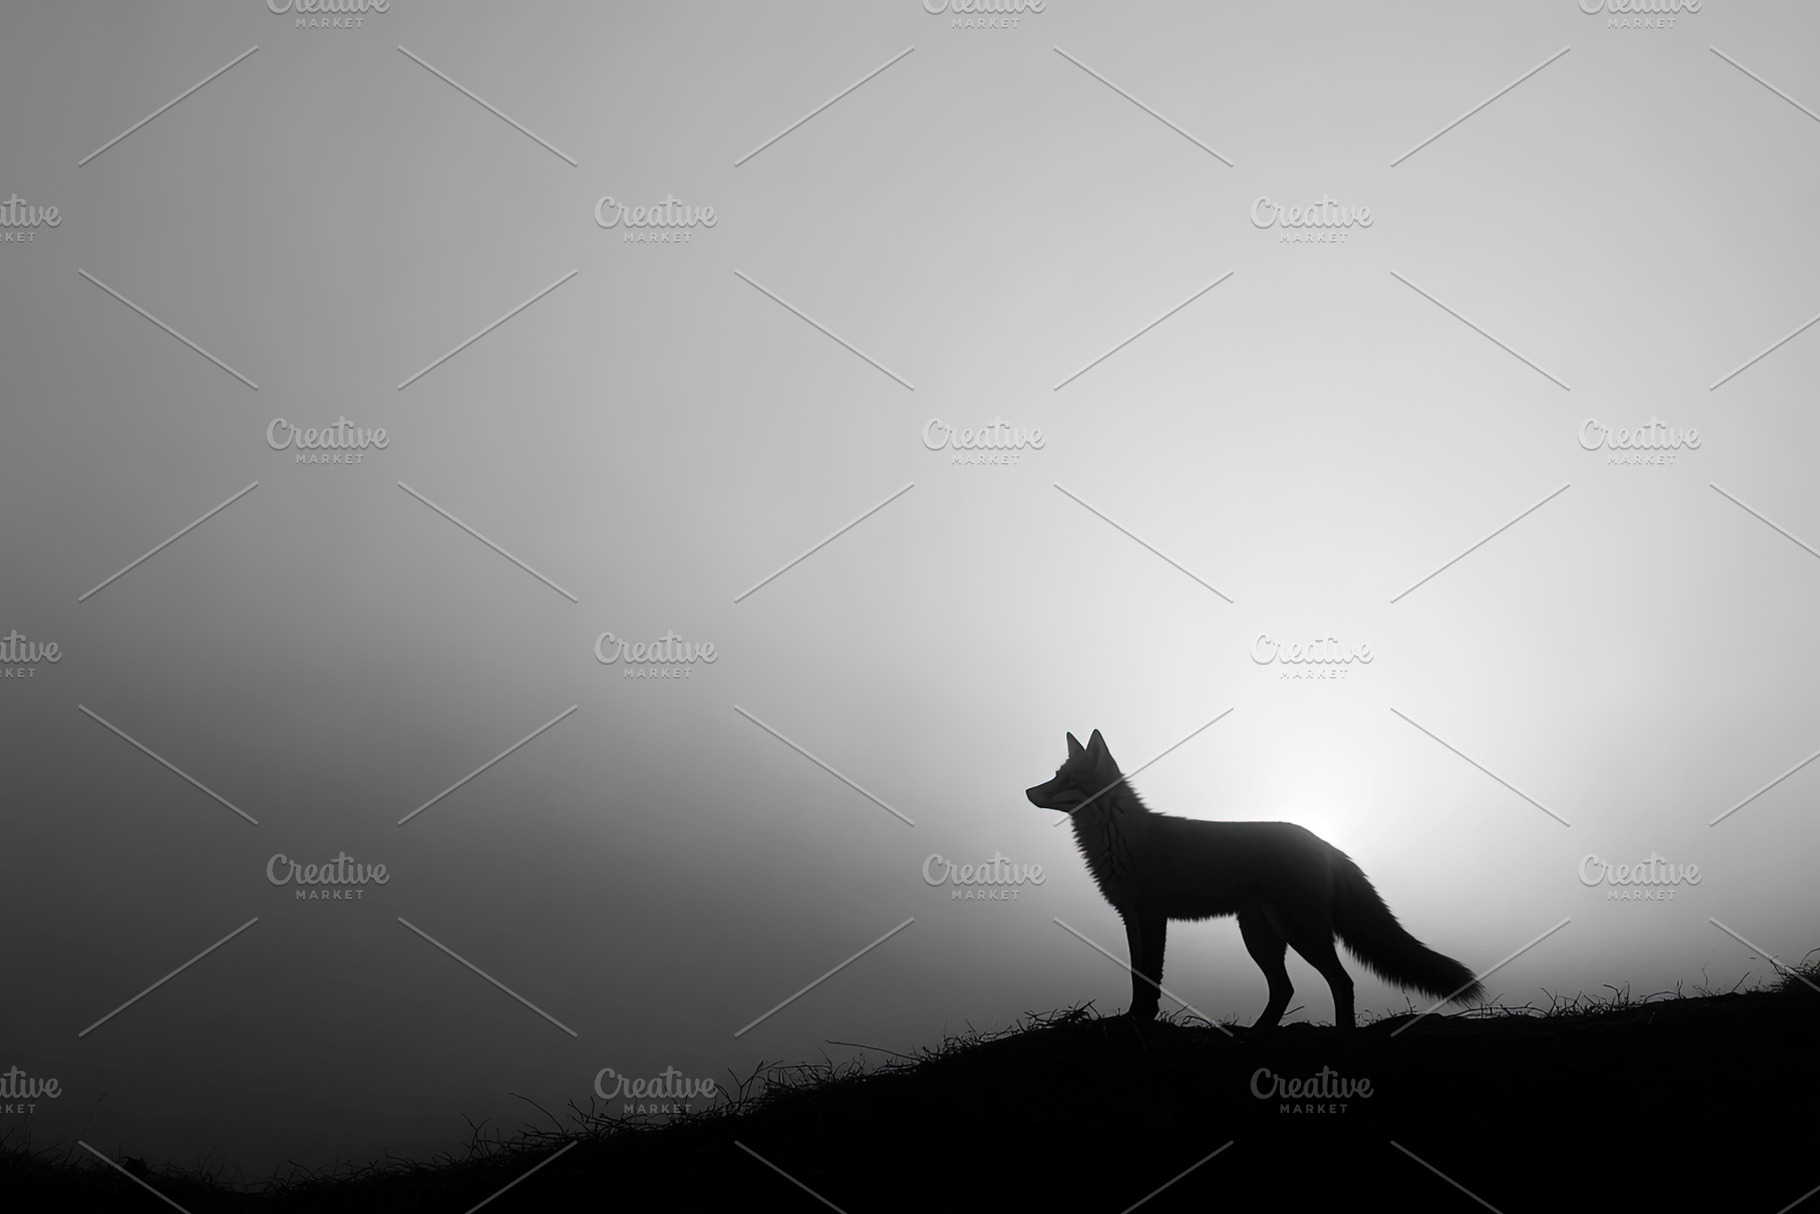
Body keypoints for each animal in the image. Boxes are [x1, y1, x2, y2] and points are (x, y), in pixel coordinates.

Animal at [1026, 730, 1483, 1029]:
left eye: (1065, 779)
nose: (1029, 792)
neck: (1119, 839)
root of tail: (1325, 842)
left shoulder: (1152, 915)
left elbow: (1149, 976)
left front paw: (1142, 1019)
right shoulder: (1131, 918)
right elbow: (1137, 975)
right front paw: (1134, 1017)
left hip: (1299, 932)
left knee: (1342, 982)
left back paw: (1341, 1035)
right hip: (1260, 936)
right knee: (1284, 989)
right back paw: (1256, 1035)